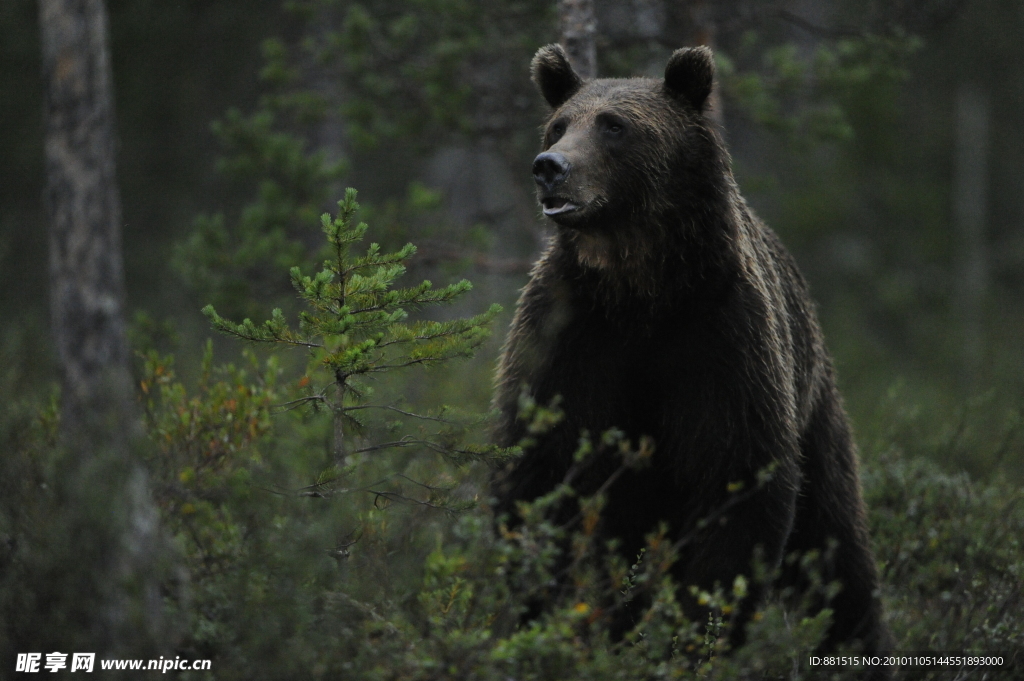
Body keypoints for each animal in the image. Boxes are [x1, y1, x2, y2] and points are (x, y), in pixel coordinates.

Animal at [491, 43, 892, 663]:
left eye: (614, 125)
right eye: (559, 124)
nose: (549, 166)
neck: (638, 289)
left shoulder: (719, 338)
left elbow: (739, 479)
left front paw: (698, 632)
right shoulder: (571, 339)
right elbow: (537, 467)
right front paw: (537, 617)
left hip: (817, 411)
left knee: (834, 544)